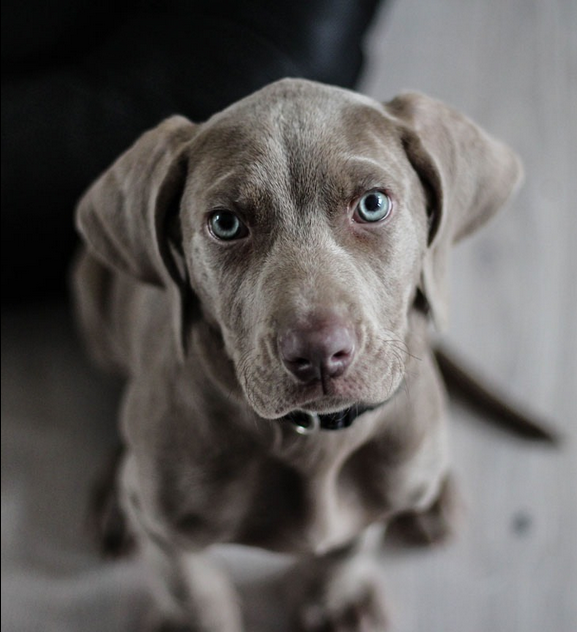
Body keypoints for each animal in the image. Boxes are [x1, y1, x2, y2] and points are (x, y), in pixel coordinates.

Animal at [74, 80, 524, 632]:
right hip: (90, 295)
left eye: (372, 205)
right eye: (225, 223)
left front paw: (337, 600)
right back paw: (114, 499)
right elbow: (188, 584)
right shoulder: (165, 526)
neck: (312, 439)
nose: (319, 353)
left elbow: (351, 544)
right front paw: (196, 618)